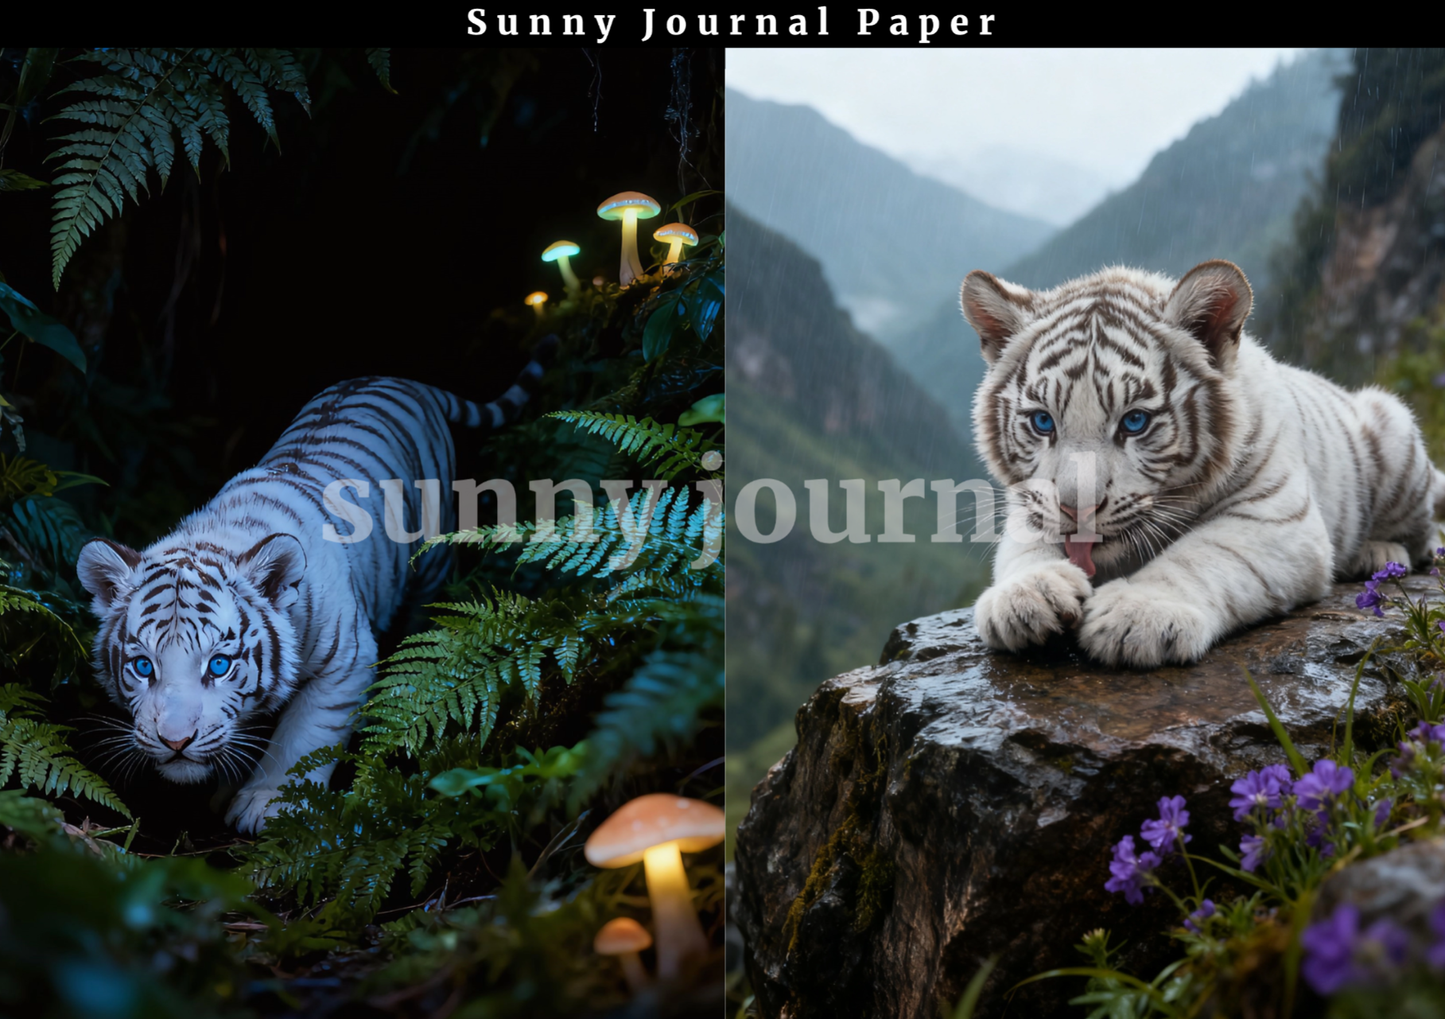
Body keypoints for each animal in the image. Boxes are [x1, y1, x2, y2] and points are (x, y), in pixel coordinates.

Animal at [75, 341, 554, 833]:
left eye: (219, 665)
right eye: (143, 667)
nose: (175, 741)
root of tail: (398, 378)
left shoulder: (346, 663)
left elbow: (304, 737)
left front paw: (267, 804)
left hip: (432, 557)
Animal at [961, 259, 1445, 669]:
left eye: (1135, 421)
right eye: (1042, 421)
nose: (1076, 510)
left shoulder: (1277, 518)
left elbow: (1203, 554)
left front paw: (1137, 613)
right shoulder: (1028, 501)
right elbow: (1026, 544)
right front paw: (1027, 596)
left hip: (1395, 436)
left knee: (1423, 537)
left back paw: (1378, 554)